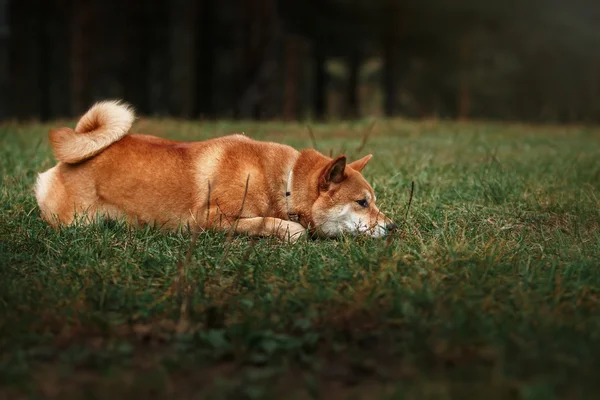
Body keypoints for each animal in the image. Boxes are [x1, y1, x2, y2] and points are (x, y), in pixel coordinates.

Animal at [35, 101, 396, 242]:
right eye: (362, 202)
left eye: (374, 201)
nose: (393, 227)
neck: (286, 181)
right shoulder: (206, 219)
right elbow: (284, 227)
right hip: (75, 220)